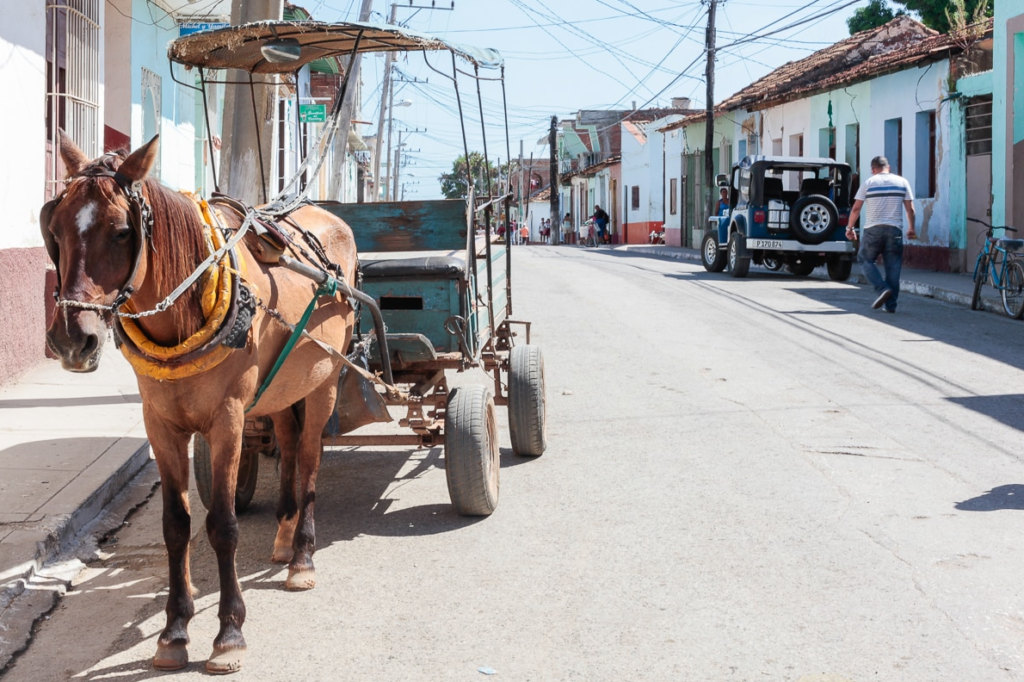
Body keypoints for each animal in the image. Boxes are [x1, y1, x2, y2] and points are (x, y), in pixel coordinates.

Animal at [44, 131, 360, 667]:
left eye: (122, 232)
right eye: (56, 228)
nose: (71, 340)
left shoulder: (227, 422)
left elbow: (223, 524)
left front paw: (228, 632)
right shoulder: (161, 425)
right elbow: (176, 525)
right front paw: (173, 631)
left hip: (325, 381)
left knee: (311, 458)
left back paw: (301, 556)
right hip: (281, 388)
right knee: (289, 442)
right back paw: (283, 537)